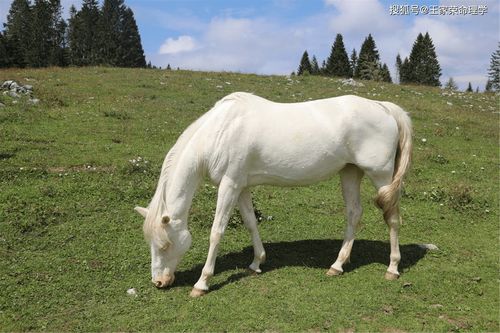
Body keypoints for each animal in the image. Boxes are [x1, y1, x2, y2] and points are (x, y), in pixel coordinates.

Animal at [135, 91, 412, 296]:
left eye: (165, 244)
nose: (158, 282)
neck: (221, 131)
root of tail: (384, 108)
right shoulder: (241, 186)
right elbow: (250, 223)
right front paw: (257, 263)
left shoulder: (229, 185)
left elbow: (217, 232)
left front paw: (202, 283)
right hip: (350, 173)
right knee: (354, 214)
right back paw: (337, 265)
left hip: (381, 176)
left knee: (392, 218)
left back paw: (393, 268)